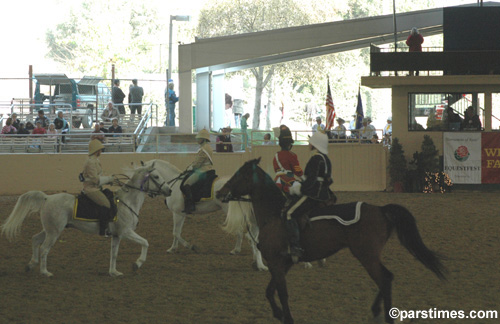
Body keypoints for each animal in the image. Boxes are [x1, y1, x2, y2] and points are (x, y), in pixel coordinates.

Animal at [0, 163, 171, 278]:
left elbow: (114, 254)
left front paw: (114, 272)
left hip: (50, 230)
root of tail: (47, 197)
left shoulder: (117, 235)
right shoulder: (126, 232)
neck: (126, 202)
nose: (169, 190)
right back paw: (45, 272)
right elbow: (145, 242)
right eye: (156, 176)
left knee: (35, 240)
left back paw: (31, 265)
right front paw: (137, 264)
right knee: (44, 248)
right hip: (54, 232)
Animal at [217, 159, 448, 324]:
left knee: (384, 279)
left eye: (238, 175)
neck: (274, 215)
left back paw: (383, 315)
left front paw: (287, 317)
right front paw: (279, 314)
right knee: (387, 279)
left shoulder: (276, 263)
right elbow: (269, 291)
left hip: (367, 256)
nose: (220, 193)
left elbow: (281, 293)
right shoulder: (283, 264)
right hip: (367, 256)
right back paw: (376, 312)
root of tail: (381, 210)